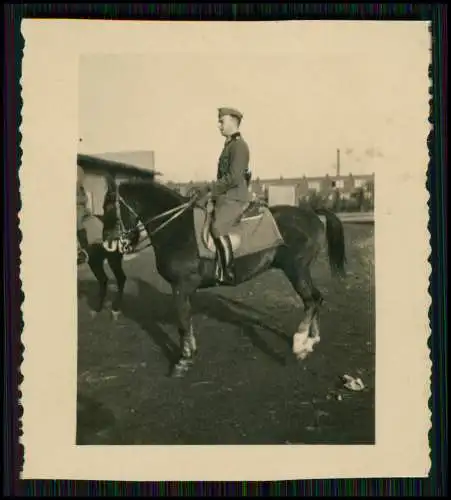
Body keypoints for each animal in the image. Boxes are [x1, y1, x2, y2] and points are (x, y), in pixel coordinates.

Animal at [112, 181, 346, 378]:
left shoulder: (181, 286)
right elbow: (186, 321)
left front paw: (183, 361)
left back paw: (299, 344)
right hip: (301, 271)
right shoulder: (183, 290)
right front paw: (190, 352)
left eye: (110, 208)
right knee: (316, 298)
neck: (176, 226)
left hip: (296, 270)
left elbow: (182, 322)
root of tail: (311, 214)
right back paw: (312, 340)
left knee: (311, 301)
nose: (112, 242)